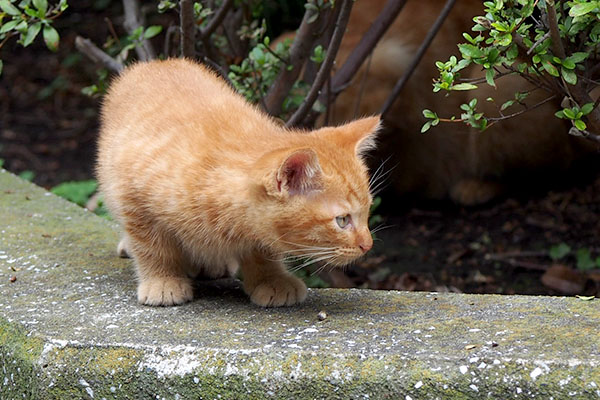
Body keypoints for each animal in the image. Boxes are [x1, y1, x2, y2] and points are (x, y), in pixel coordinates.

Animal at [97, 59, 380, 308]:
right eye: (342, 220)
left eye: (366, 212)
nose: (368, 245)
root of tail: (158, 63)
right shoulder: (133, 196)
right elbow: (152, 246)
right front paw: (162, 280)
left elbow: (262, 249)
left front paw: (271, 279)